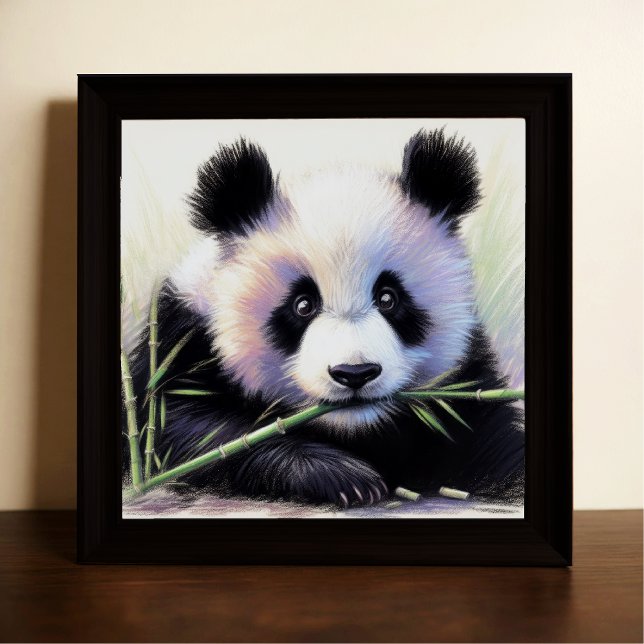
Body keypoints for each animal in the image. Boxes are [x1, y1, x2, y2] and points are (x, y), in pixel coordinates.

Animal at [129, 128, 524, 508]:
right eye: (302, 305)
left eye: (388, 298)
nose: (355, 373)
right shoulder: (183, 337)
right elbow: (188, 430)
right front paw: (340, 476)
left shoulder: (467, 386)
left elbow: (494, 440)